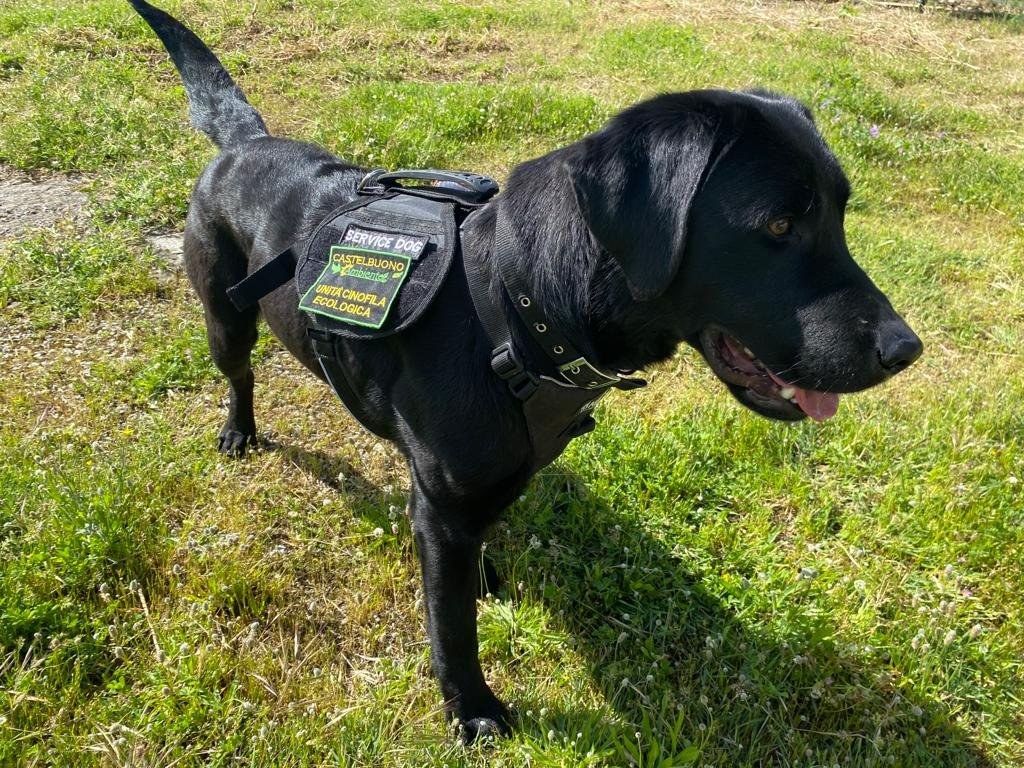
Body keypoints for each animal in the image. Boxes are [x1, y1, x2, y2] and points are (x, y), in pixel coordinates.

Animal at [128, 0, 921, 745]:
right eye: (779, 226)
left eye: (841, 214)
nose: (904, 349)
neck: (517, 306)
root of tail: (246, 141)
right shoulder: (445, 507)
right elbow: (452, 629)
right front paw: (472, 711)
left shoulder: (477, 488)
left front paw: (482, 580)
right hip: (225, 316)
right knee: (239, 375)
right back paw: (239, 432)